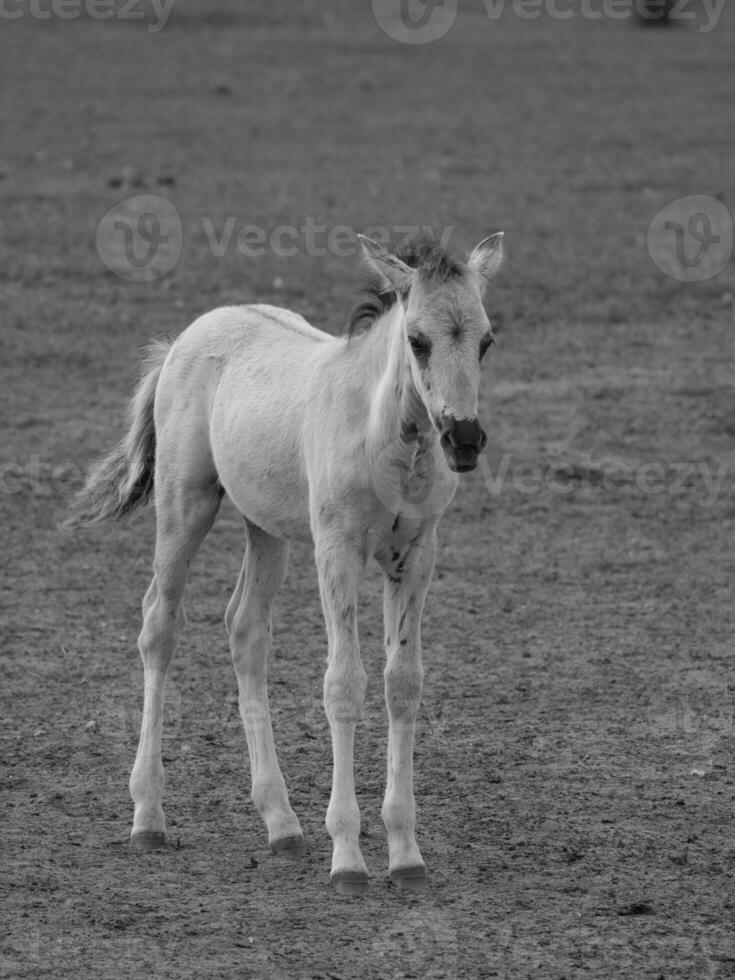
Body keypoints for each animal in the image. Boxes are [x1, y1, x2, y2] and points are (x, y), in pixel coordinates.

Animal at [67, 232, 506, 896]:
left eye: (485, 340)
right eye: (417, 341)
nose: (464, 440)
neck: (384, 438)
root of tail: (185, 338)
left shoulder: (416, 556)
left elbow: (402, 684)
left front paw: (406, 854)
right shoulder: (336, 550)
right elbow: (343, 685)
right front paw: (348, 857)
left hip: (266, 528)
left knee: (245, 630)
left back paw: (281, 822)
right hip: (185, 505)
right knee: (158, 626)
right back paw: (148, 816)